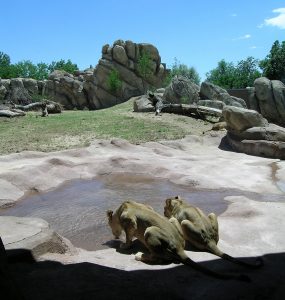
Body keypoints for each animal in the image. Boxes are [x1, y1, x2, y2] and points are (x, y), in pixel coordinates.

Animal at [106, 199, 248, 282]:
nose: (114, 235)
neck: (122, 207)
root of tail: (178, 246)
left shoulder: (130, 222)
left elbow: (129, 236)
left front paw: (124, 245)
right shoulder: (147, 207)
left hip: (150, 230)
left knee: (158, 258)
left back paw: (140, 255)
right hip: (174, 221)